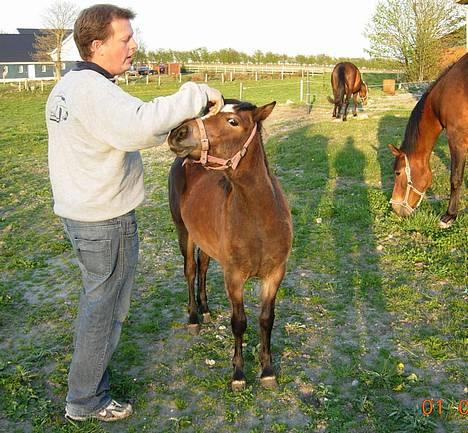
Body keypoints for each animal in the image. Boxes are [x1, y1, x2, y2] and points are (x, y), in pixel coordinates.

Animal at [167, 99, 292, 390]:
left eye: (233, 121)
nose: (178, 133)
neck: (260, 220)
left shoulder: (274, 274)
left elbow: (266, 320)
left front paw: (267, 370)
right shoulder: (234, 277)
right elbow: (239, 322)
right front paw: (238, 373)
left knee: (202, 268)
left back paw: (205, 309)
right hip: (184, 232)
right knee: (190, 271)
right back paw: (194, 317)